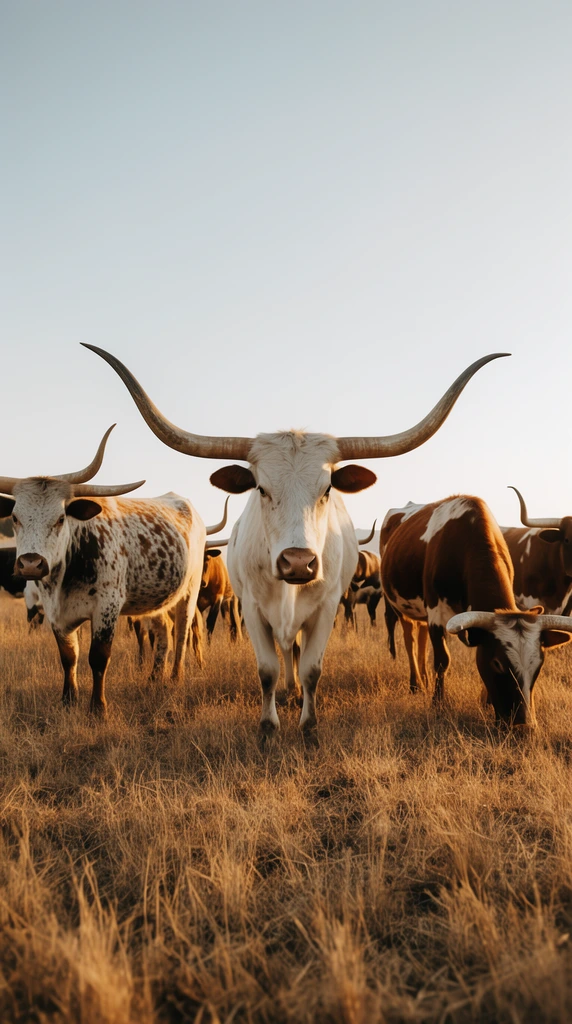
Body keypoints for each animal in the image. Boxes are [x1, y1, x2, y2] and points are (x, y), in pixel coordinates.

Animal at [0, 426, 206, 715]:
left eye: (61, 518)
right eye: (15, 518)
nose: (31, 563)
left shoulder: (107, 606)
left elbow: (98, 657)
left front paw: (98, 708)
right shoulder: (55, 613)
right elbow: (68, 657)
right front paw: (68, 701)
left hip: (190, 590)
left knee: (182, 631)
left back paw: (176, 678)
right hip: (156, 599)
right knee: (164, 629)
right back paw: (155, 677)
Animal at [83, 343, 508, 741]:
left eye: (327, 489)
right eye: (261, 488)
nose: (299, 562)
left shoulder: (327, 608)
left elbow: (312, 669)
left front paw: (309, 727)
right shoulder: (252, 609)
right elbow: (268, 670)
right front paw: (268, 728)